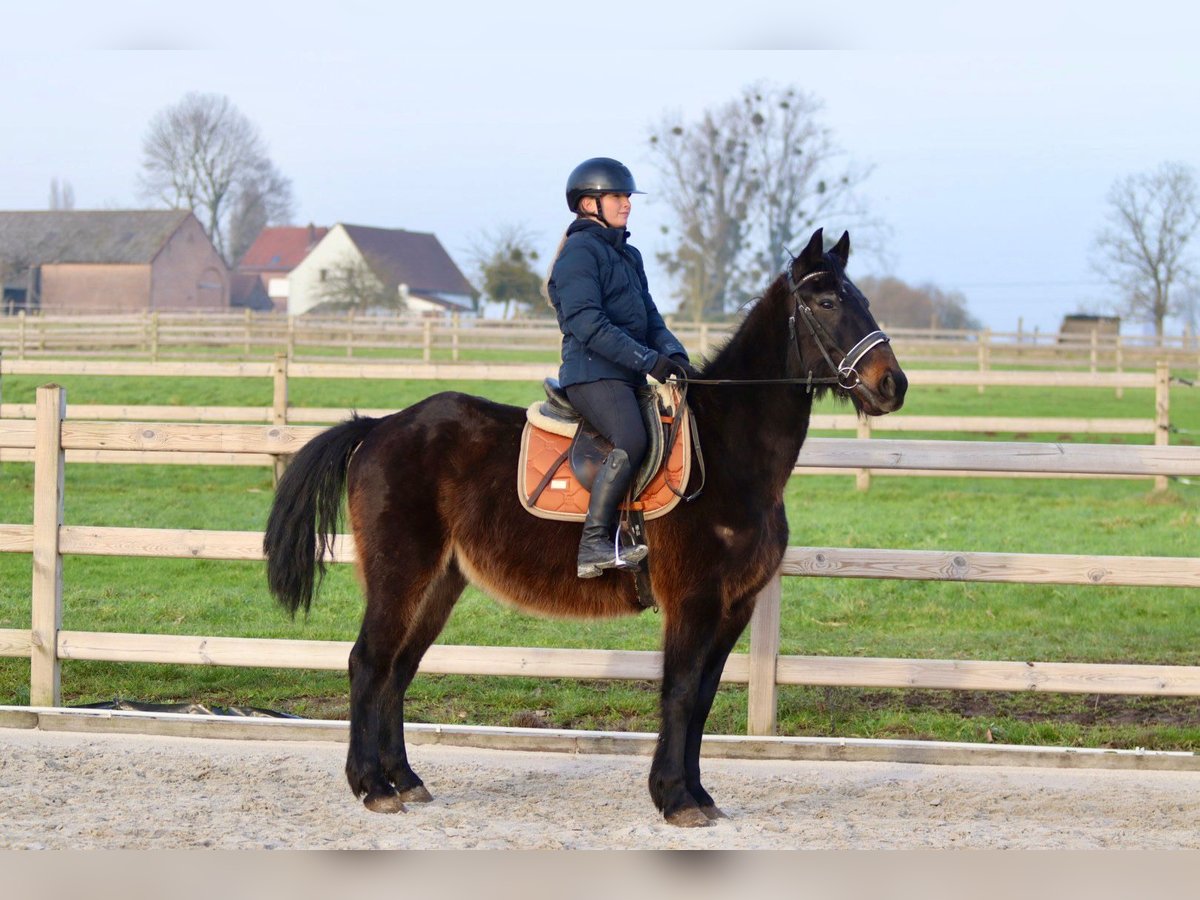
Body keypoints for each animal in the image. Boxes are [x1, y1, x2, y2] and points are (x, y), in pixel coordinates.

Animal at [262, 229, 902, 830]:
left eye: (863, 299)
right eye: (825, 300)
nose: (893, 384)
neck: (727, 453)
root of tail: (378, 427)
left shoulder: (735, 605)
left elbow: (701, 698)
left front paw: (697, 795)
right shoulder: (694, 601)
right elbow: (679, 693)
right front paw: (674, 799)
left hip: (439, 582)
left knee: (398, 670)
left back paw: (406, 780)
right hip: (400, 575)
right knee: (367, 664)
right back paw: (370, 785)